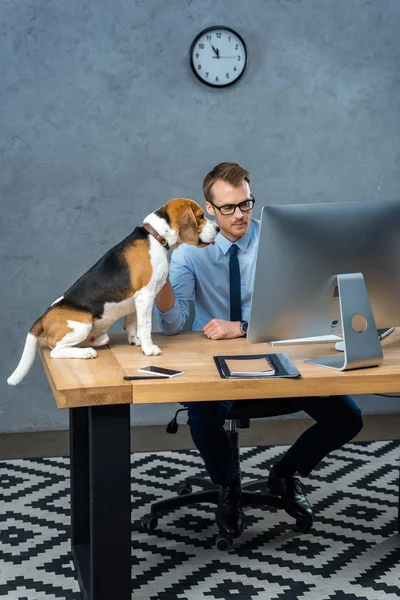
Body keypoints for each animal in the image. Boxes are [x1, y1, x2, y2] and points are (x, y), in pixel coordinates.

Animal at [7, 197, 219, 384]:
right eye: (200, 216)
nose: (218, 228)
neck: (155, 237)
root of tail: (44, 316)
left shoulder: (136, 300)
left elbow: (133, 323)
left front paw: (136, 341)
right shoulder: (145, 296)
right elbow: (145, 325)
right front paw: (149, 348)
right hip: (82, 325)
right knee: (55, 351)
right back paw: (86, 353)